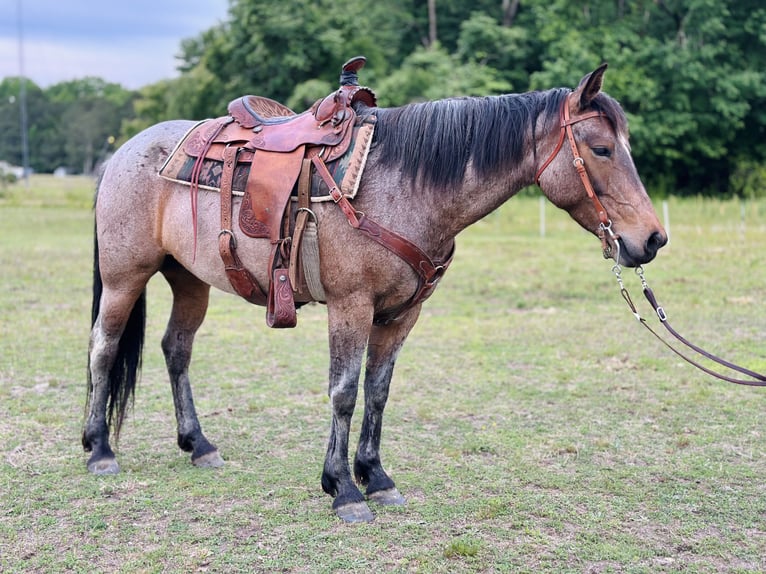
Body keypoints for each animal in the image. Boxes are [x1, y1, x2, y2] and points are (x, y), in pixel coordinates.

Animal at [83, 64, 667, 523]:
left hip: (190, 280)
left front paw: (376, 477)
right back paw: (99, 450)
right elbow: (343, 392)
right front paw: (342, 489)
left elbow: (378, 392)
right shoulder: (351, 306)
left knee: (175, 349)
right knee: (103, 349)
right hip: (125, 276)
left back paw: (198, 444)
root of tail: (121, 153)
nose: (652, 239)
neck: (402, 187)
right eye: (601, 149)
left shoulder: (401, 315)